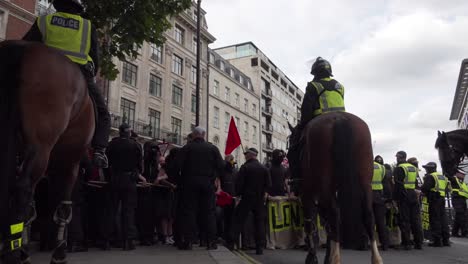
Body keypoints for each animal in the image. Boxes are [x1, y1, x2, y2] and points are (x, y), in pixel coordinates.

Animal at [0, 40, 95, 264]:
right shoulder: (69, 162)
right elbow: (64, 207)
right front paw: (59, 253)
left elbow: (32, 209)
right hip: (43, 144)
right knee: (22, 188)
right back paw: (13, 252)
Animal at [288, 112, 384, 264]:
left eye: (290, 151)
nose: (293, 183)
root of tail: (340, 118)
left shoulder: (307, 195)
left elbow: (311, 223)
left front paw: (313, 256)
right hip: (365, 184)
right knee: (368, 216)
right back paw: (376, 258)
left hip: (325, 187)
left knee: (334, 215)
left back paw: (335, 258)